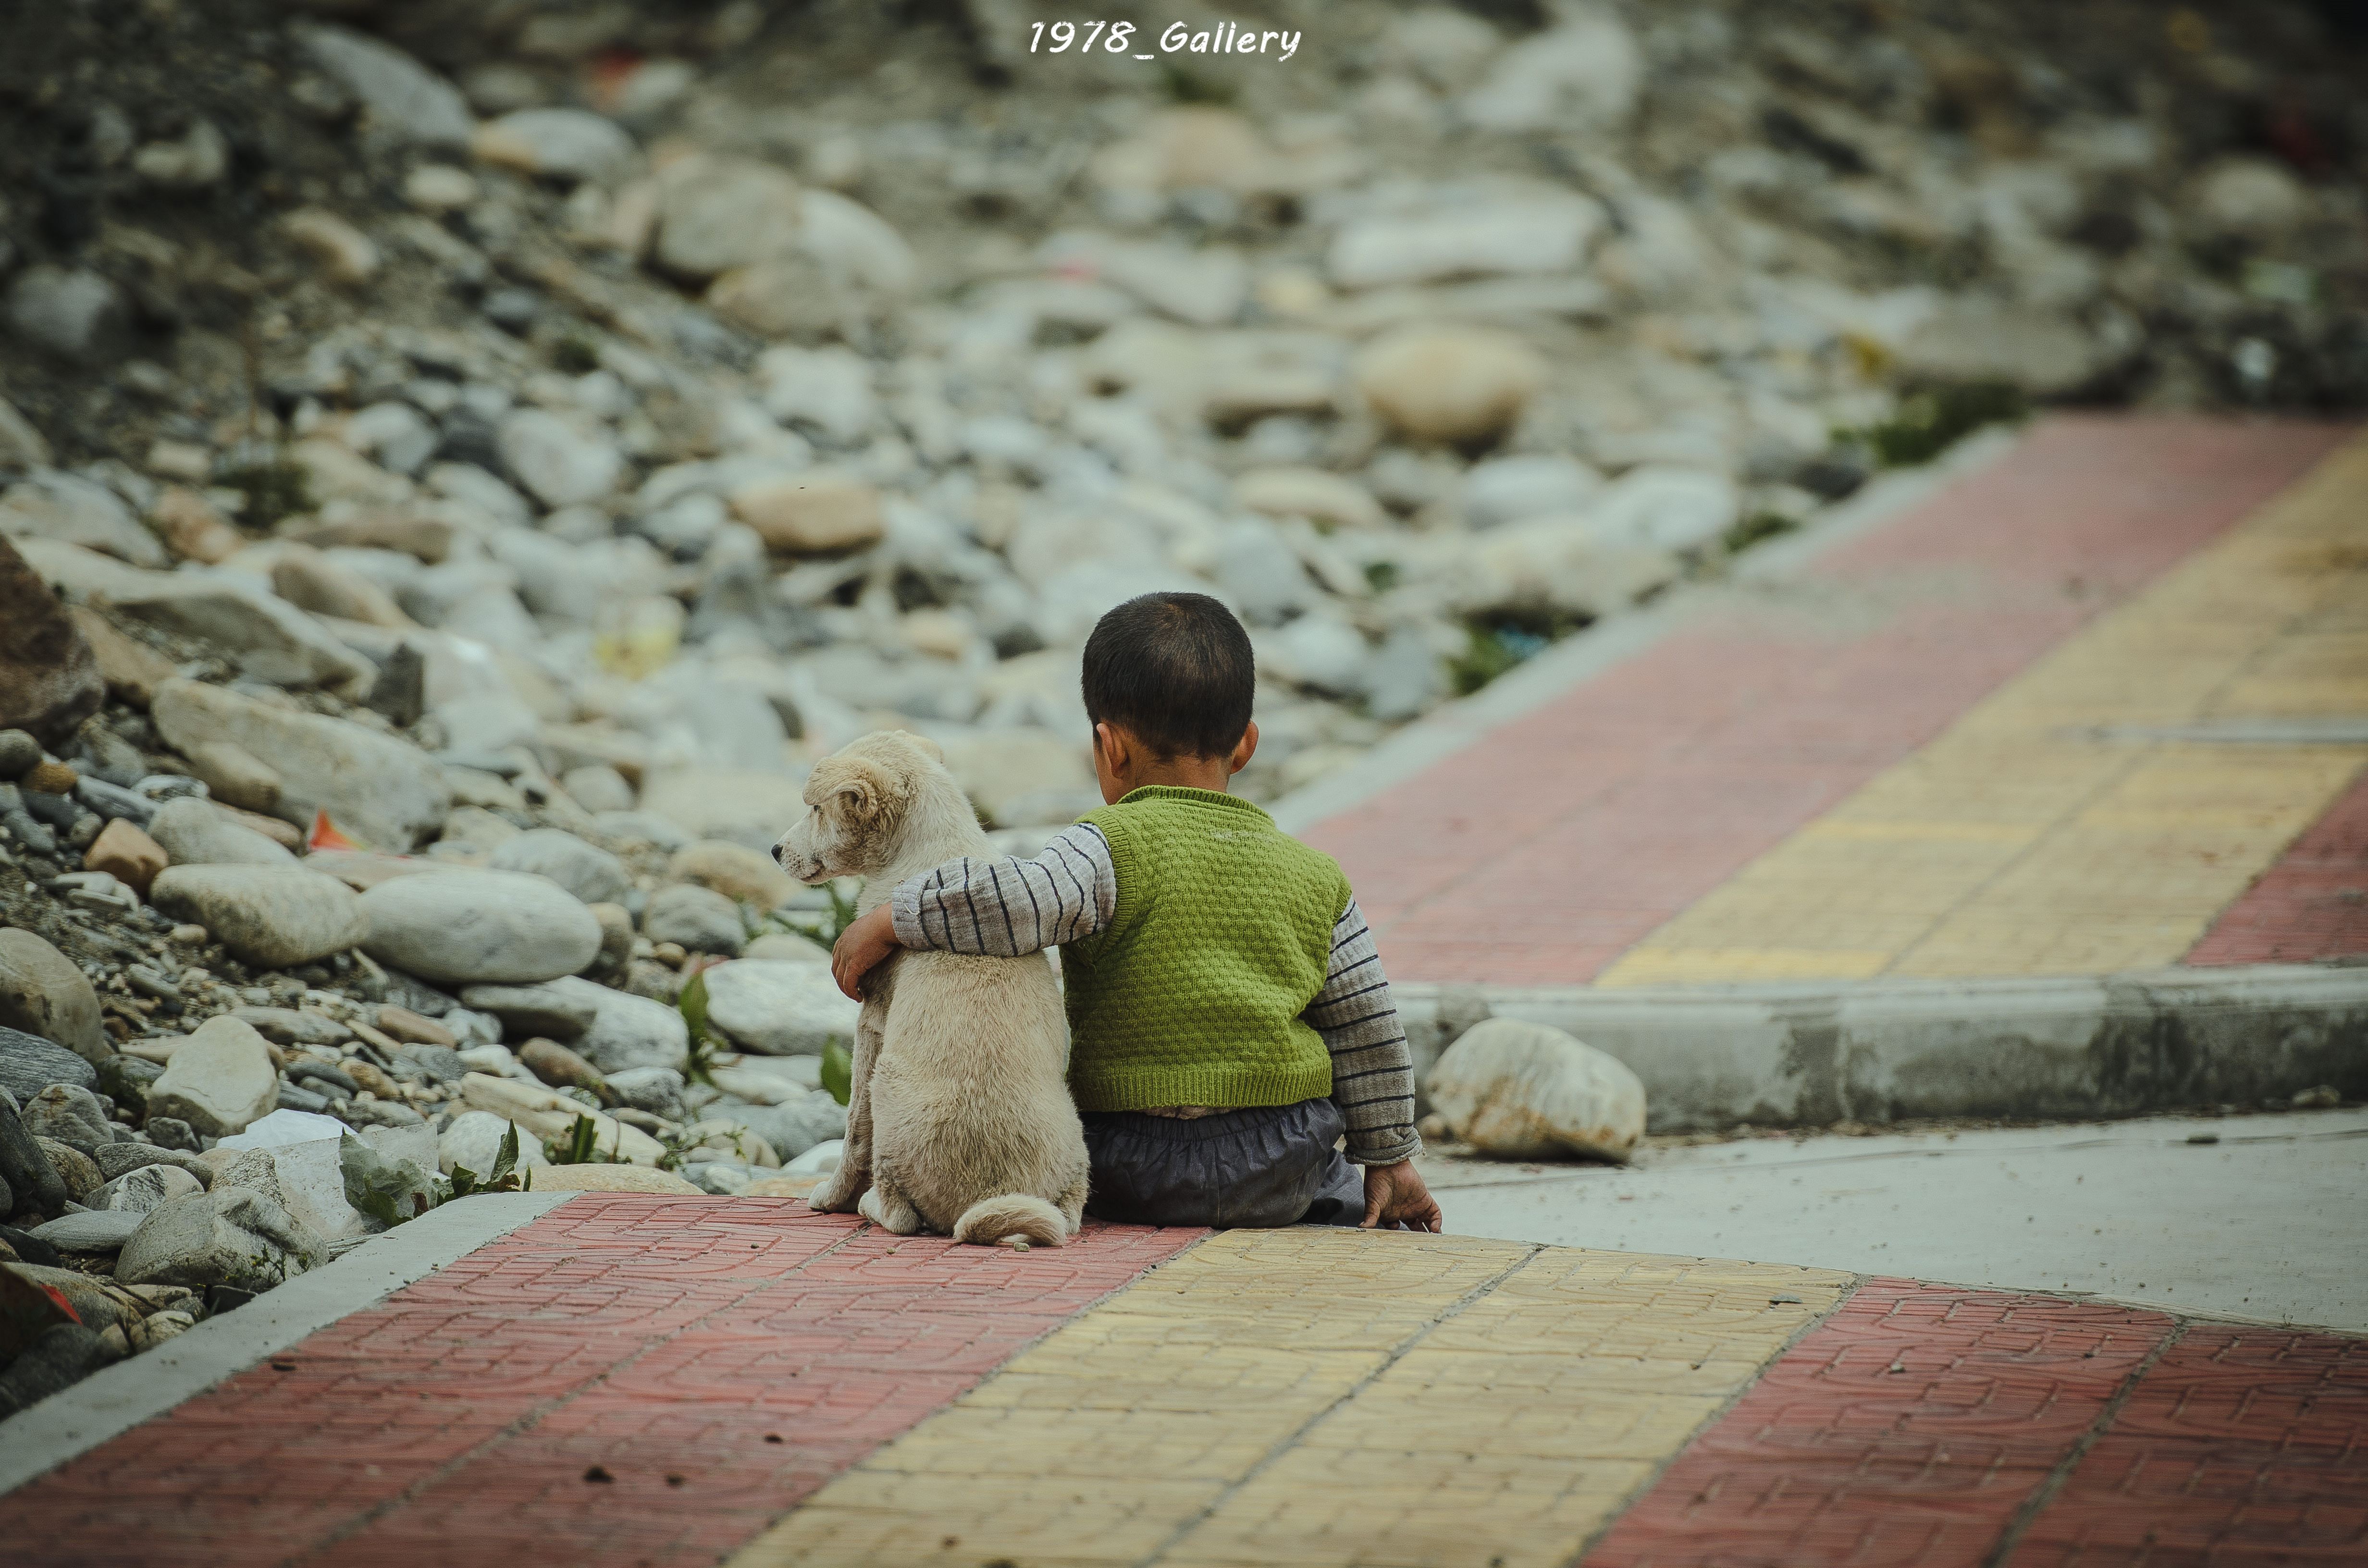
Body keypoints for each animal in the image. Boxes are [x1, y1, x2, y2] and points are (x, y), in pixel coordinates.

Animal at [772, 730, 1088, 1248]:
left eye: (816, 809)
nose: (775, 851)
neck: (927, 849)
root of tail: (990, 1196)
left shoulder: (872, 1022)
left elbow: (853, 1129)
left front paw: (831, 1197)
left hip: (888, 1086)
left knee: (902, 1214)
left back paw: (870, 1204)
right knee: (1070, 1214)